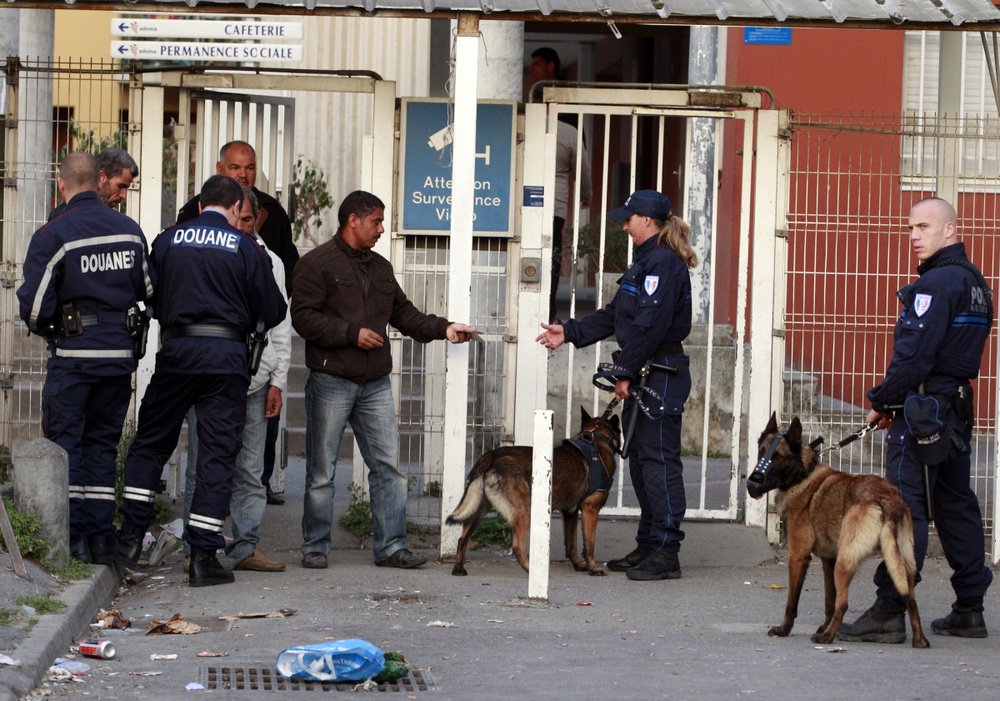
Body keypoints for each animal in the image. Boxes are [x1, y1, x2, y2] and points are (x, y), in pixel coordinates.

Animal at [446, 408, 616, 576]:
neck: (597, 438)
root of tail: (491, 455)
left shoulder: (570, 513)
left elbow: (571, 544)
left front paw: (578, 565)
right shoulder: (590, 510)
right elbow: (589, 545)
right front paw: (593, 568)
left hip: (479, 510)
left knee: (462, 538)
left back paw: (458, 568)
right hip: (525, 512)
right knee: (517, 546)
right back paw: (531, 570)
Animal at [752, 412, 928, 648]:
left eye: (778, 457)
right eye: (761, 451)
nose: (753, 481)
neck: (803, 474)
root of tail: (888, 499)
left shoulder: (798, 557)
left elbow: (793, 601)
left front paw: (784, 629)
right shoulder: (828, 560)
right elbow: (829, 601)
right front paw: (824, 625)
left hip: (844, 563)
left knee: (844, 604)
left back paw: (827, 638)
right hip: (902, 564)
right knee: (910, 599)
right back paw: (919, 640)